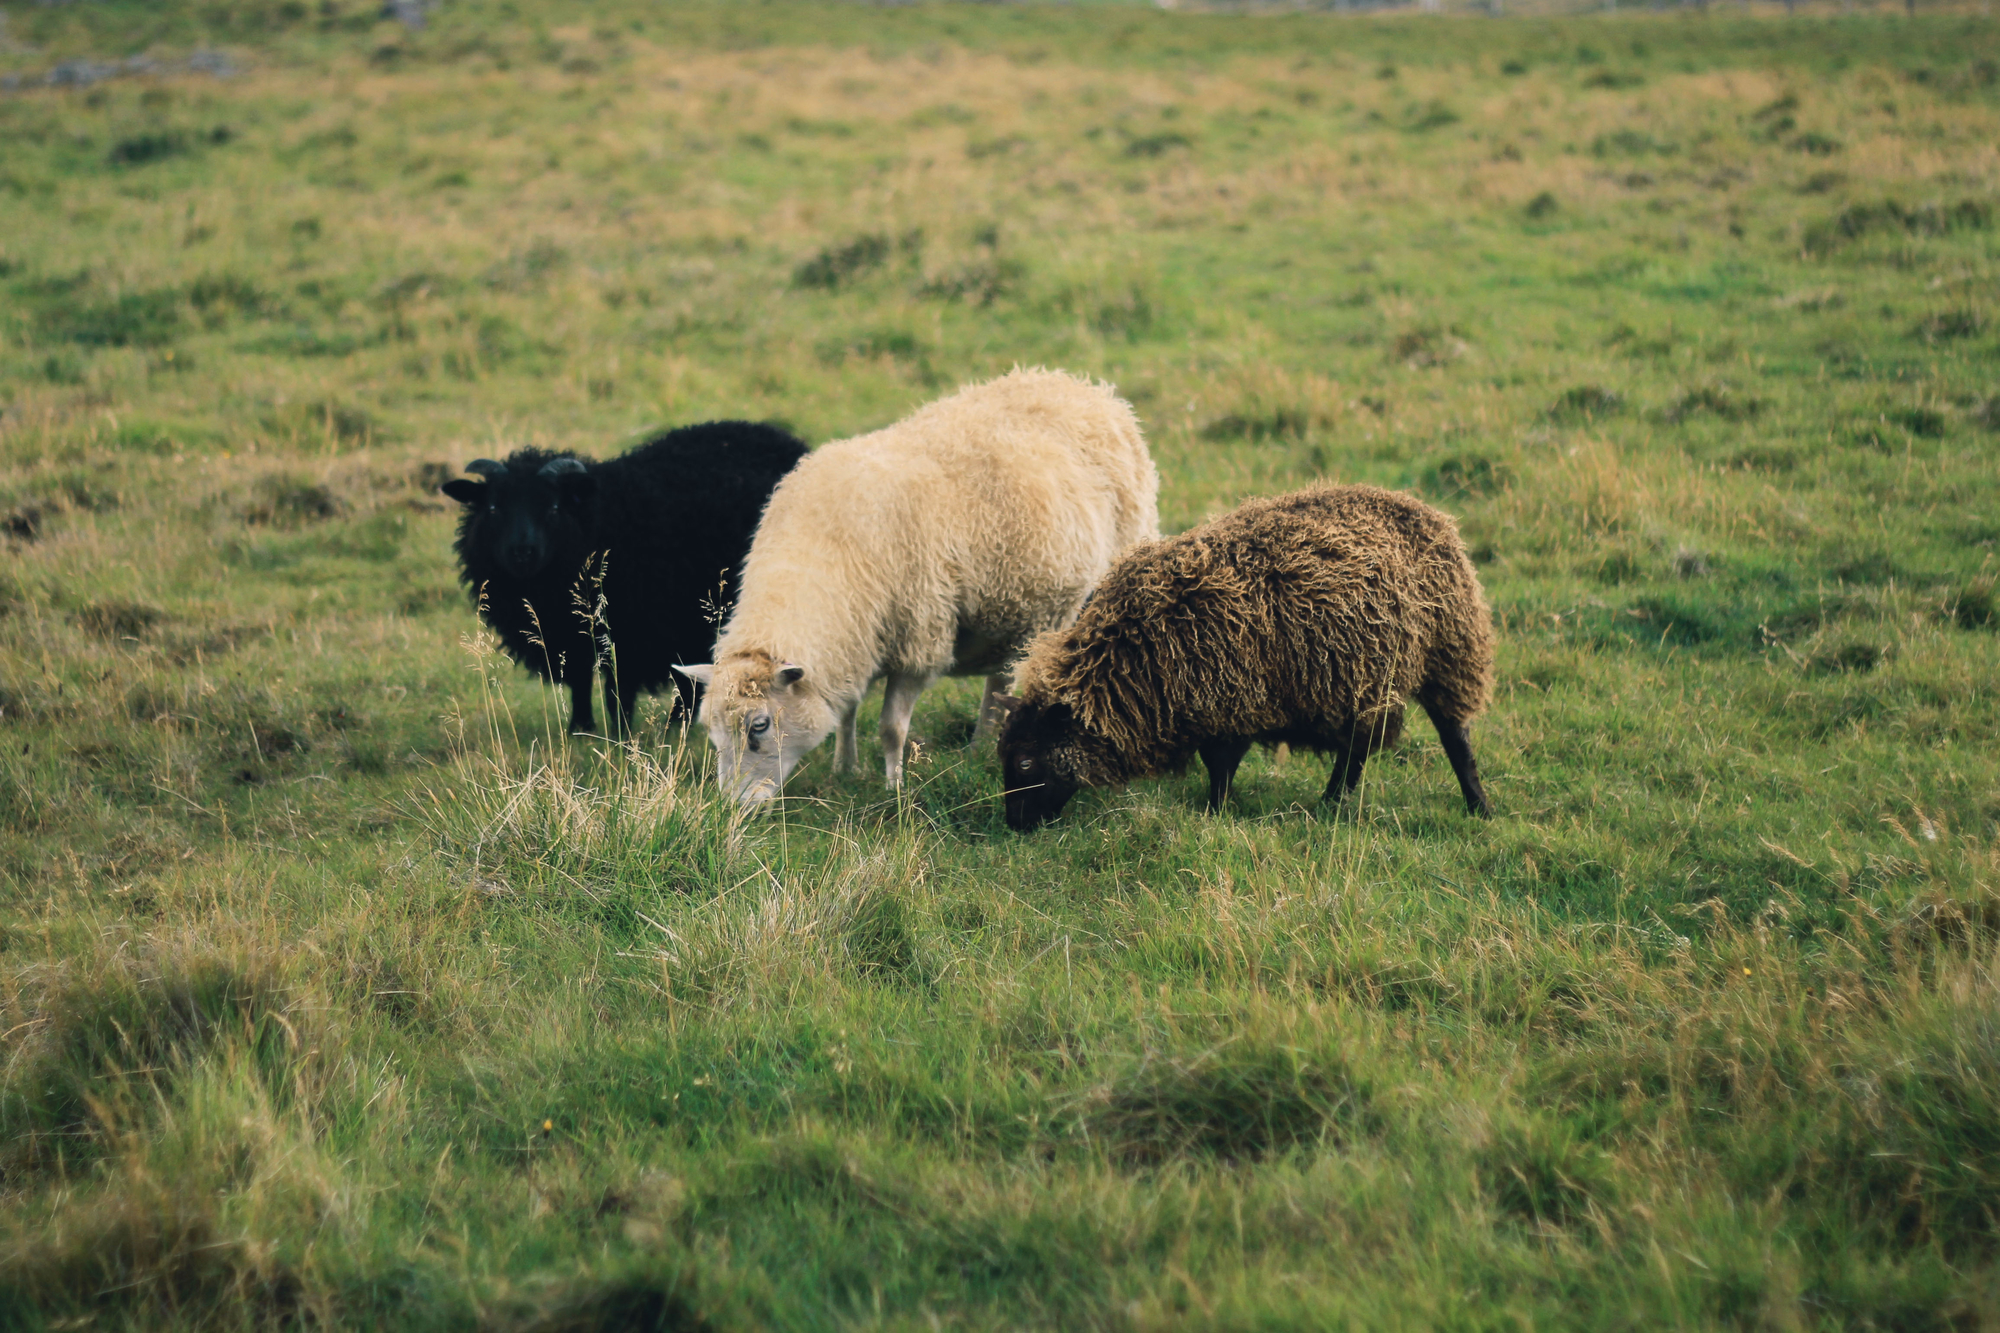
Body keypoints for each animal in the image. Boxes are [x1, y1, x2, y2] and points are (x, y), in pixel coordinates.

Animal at [442, 420, 808, 732]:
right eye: (493, 508)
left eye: (554, 508)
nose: (522, 552)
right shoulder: (571, 634)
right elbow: (580, 682)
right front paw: (580, 730)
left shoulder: (630, 632)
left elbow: (618, 689)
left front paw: (621, 734)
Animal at [680, 366, 1168, 800]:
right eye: (712, 731)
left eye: (759, 726)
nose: (733, 807)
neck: (820, 555)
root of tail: (1088, 389)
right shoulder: (857, 639)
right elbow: (848, 711)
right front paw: (845, 769)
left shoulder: (919, 640)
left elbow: (891, 728)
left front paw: (893, 788)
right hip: (1021, 614)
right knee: (1001, 682)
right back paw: (980, 747)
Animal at [992, 482, 1496, 824]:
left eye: (1025, 761)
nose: (1015, 826)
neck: (1129, 665)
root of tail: (1426, 512)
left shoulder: (1232, 706)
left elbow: (1220, 769)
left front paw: (1212, 815)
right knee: (1359, 749)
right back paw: (1334, 804)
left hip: (1448, 654)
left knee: (1452, 739)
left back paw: (1475, 807)